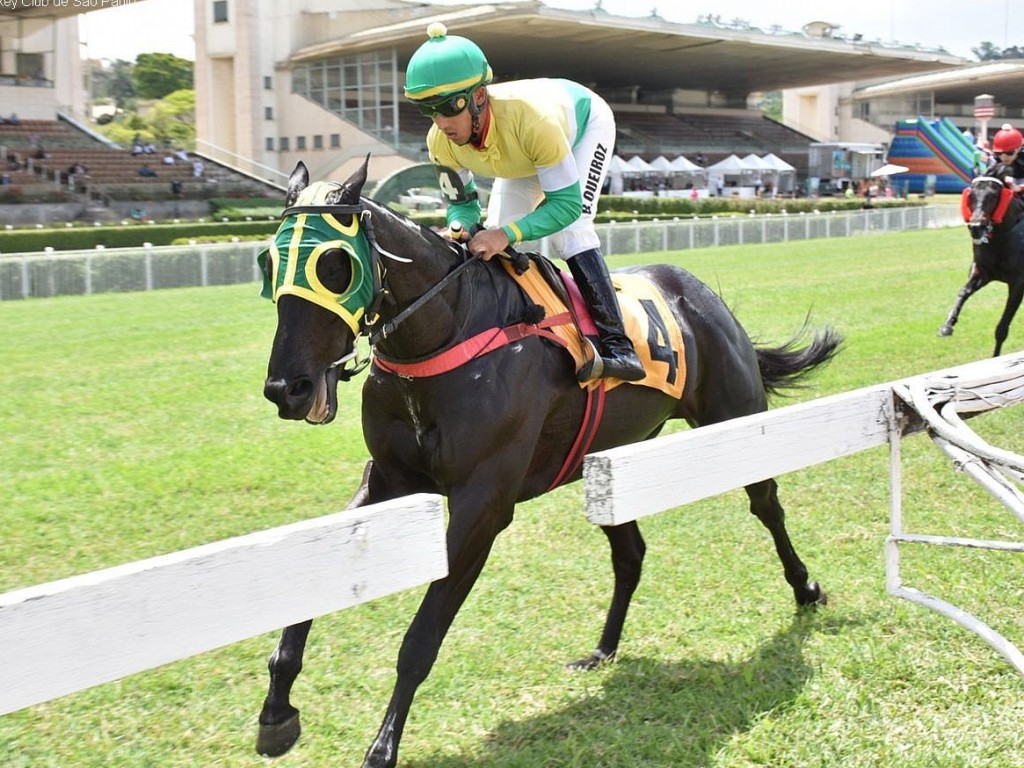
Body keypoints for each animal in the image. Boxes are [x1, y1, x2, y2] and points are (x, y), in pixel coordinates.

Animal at [256, 157, 839, 768]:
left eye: (334, 265)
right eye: (268, 262)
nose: (287, 388)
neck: (445, 333)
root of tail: (697, 290)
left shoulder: (483, 503)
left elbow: (420, 638)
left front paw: (382, 747)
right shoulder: (390, 478)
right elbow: (315, 584)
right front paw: (277, 712)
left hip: (735, 418)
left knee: (767, 506)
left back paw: (806, 589)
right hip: (607, 462)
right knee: (631, 553)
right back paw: (603, 649)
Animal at [937, 166, 1024, 356]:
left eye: (993, 195)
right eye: (971, 195)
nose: (976, 227)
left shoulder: (1018, 283)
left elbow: (1002, 328)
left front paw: (995, 357)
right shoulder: (982, 272)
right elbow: (963, 292)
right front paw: (947, 325)